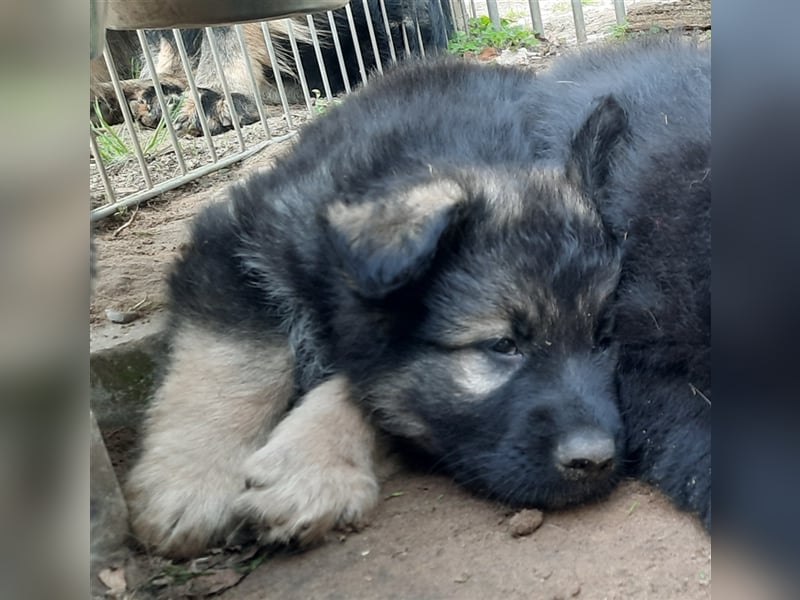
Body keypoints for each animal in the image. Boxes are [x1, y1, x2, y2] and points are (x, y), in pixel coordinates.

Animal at [126, 36, 712, 556]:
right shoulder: (236, 243)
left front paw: (311, 469)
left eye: (603, 339)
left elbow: (371, 391)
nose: (597, 460)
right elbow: (230, 364)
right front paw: (191, 486)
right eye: (502, 346)